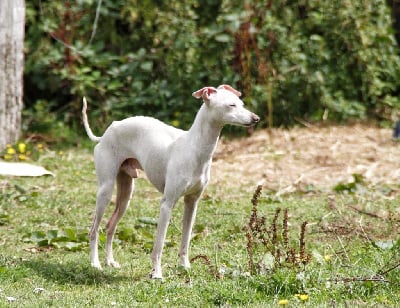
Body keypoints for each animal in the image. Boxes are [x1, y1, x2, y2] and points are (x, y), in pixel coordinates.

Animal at [83, 84, 260, 280]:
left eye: (242, 104)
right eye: (231, 105)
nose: (256, 118)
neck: (194, 148)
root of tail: (107, 132)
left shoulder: (192, 203)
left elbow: (185, 239)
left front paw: (185, 266)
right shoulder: (167, 204)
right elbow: (159, 245)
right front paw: (157, 273)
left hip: (126, 194)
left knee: (110, 226)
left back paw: (110, 261)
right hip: (105, 190)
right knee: (94, 230)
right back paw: (96, 264)